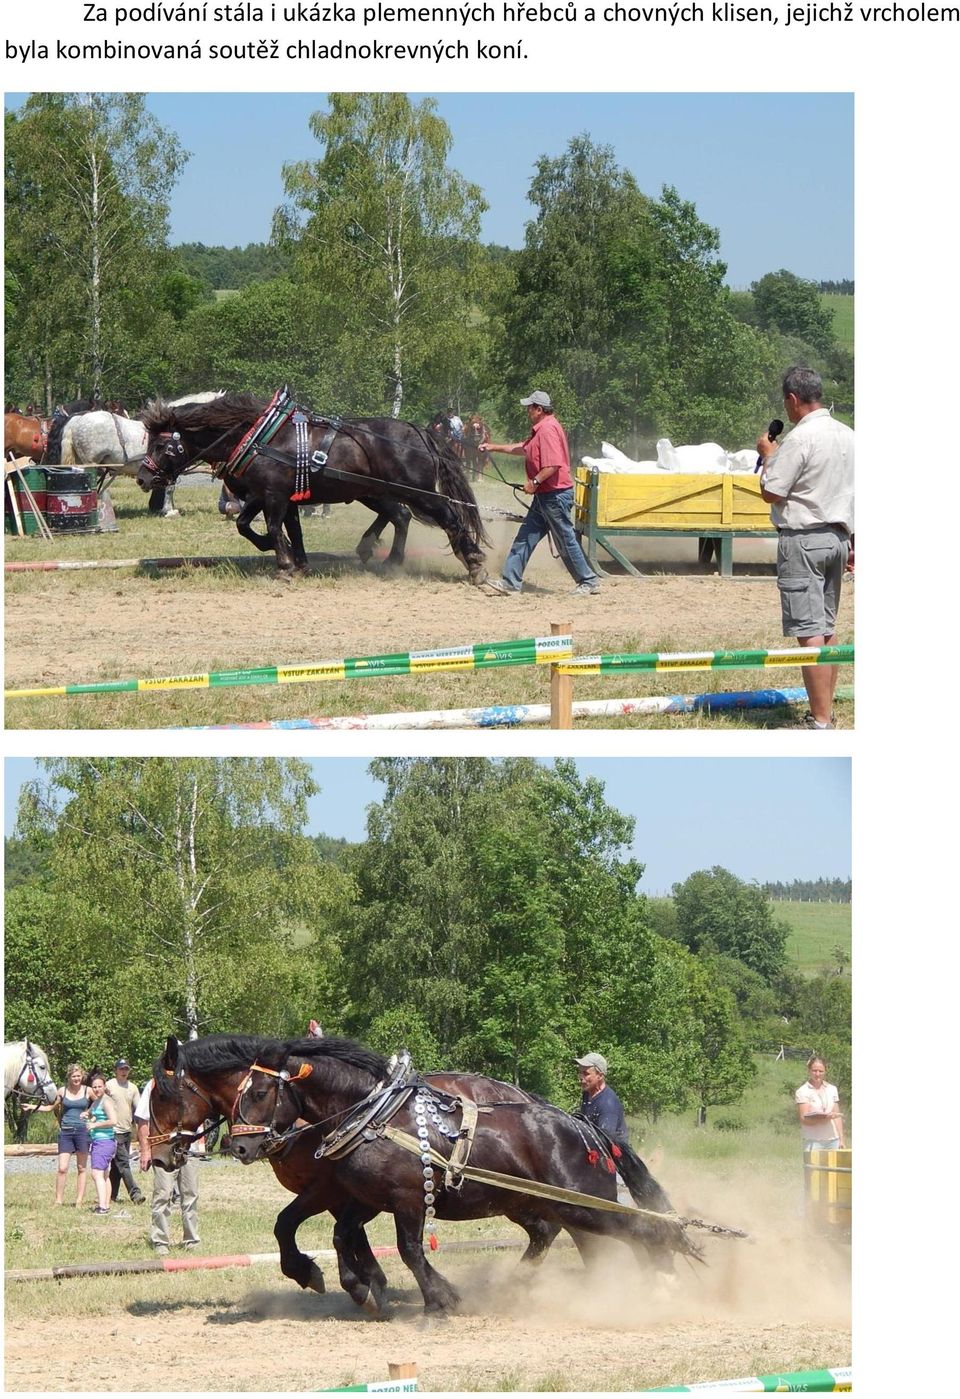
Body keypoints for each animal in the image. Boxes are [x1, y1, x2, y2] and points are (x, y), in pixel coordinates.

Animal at [139, 391, 489, 581]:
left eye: (161, 445)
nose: (143, 478)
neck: (257, 437)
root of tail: (421, 433)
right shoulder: (270, 495)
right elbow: (259, 526)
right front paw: (296, 561)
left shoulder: (273, 496)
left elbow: (273, 526)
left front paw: (284, 564)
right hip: (373, 492)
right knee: (400, 517)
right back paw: (384, 557)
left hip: (418, 492)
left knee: (449, 518)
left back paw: (473, 564)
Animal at [221, 1035, 699, 1315]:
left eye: (259, 1092)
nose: (239, 1146)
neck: (377, 1117)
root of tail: (585, 1127)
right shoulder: (367, 1199)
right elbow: (343, 1234)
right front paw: (360, 1285)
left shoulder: (406, 1199)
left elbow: (409, 1250)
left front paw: (439, 1299)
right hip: (549, 1205)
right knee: (587, 1239)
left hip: (581, 1204)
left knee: (642, 1230)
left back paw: (660, 1284)